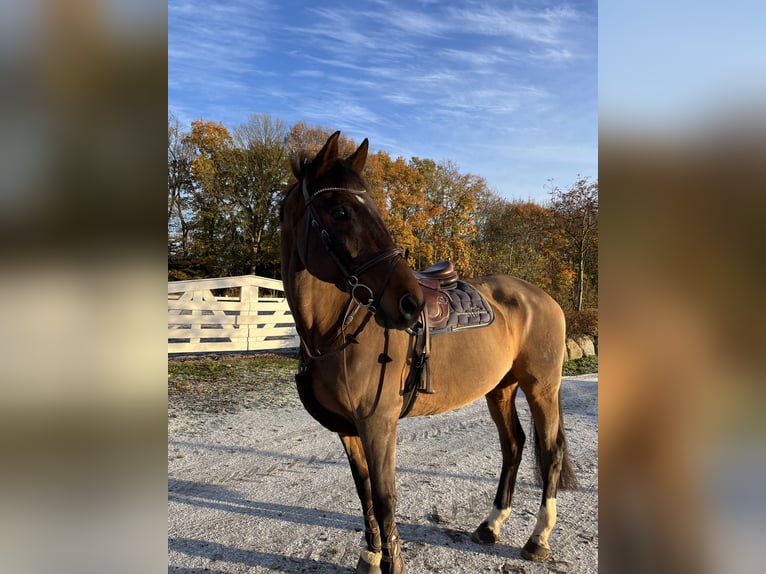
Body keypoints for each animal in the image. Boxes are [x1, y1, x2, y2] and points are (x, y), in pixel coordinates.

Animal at [280, 132, 576, 574]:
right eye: (341, 211)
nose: (410, 303)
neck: (336, 327)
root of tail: (543, 297)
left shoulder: (379, 422)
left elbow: (385, 497)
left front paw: (391, 562)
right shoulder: (349, 429)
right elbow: (364, 492)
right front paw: (370, 555)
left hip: (541, 387)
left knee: (550, 450)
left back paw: (538, 538)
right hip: (501, 388)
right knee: (514, 445)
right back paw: (491, 525)